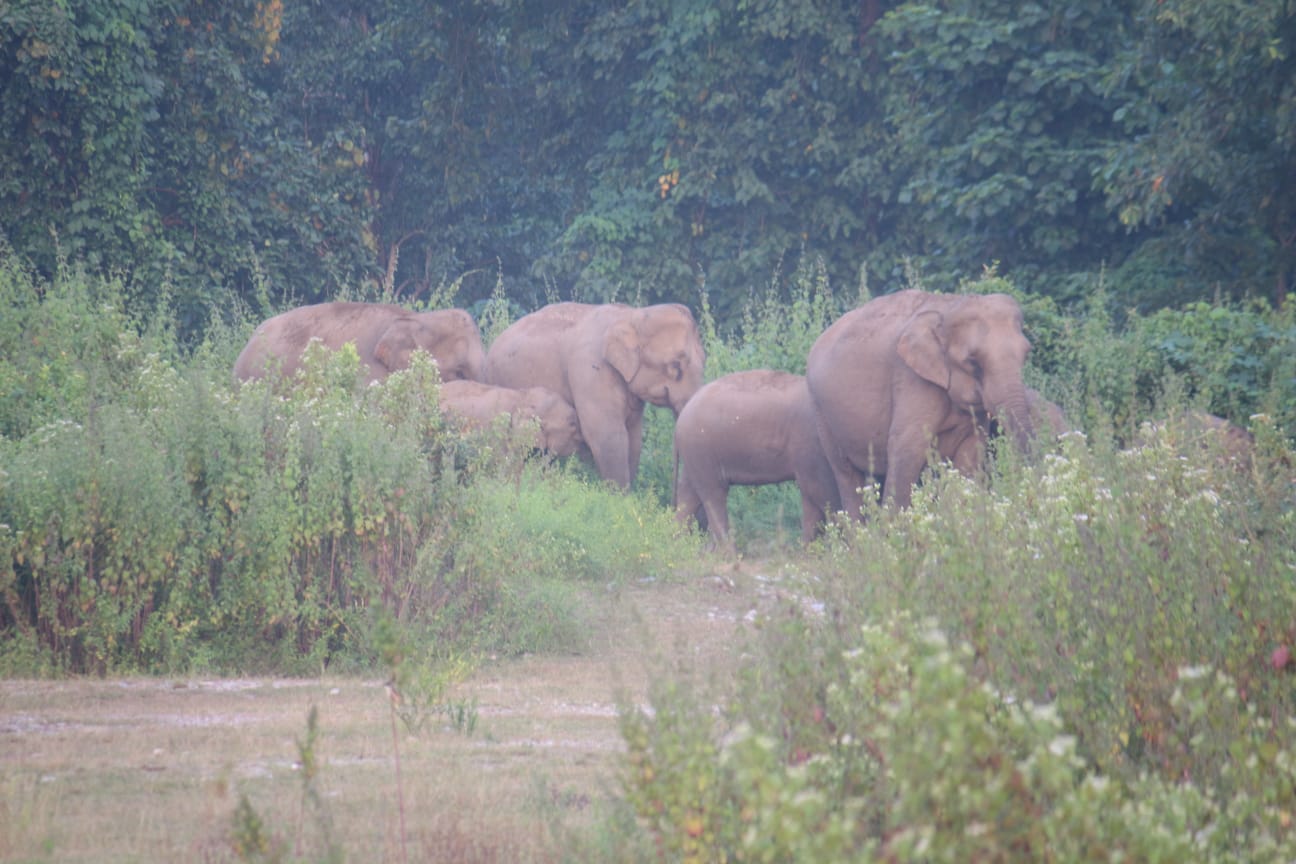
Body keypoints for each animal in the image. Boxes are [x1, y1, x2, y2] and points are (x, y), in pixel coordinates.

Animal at [487, 303, 710, 492]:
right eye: (676, 365)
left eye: (704, 360)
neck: (632, 316)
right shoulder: (590, 371)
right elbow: (608, 436)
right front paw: (620, 500)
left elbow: (634, 438)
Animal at [668, 370, 839, 546]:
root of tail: (680, 420)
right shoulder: (810, 442)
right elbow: (821, 490)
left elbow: (811, 495)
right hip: (701, 450)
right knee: (714, 495)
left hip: (695, 454)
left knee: (689, 495)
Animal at [803, 290, 1036, 512]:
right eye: (972, 360)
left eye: (1026, 353)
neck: (948, 307)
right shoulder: (911, 379)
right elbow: (907, 447)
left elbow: (971, 451)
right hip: (821, 413)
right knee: (847, 474)